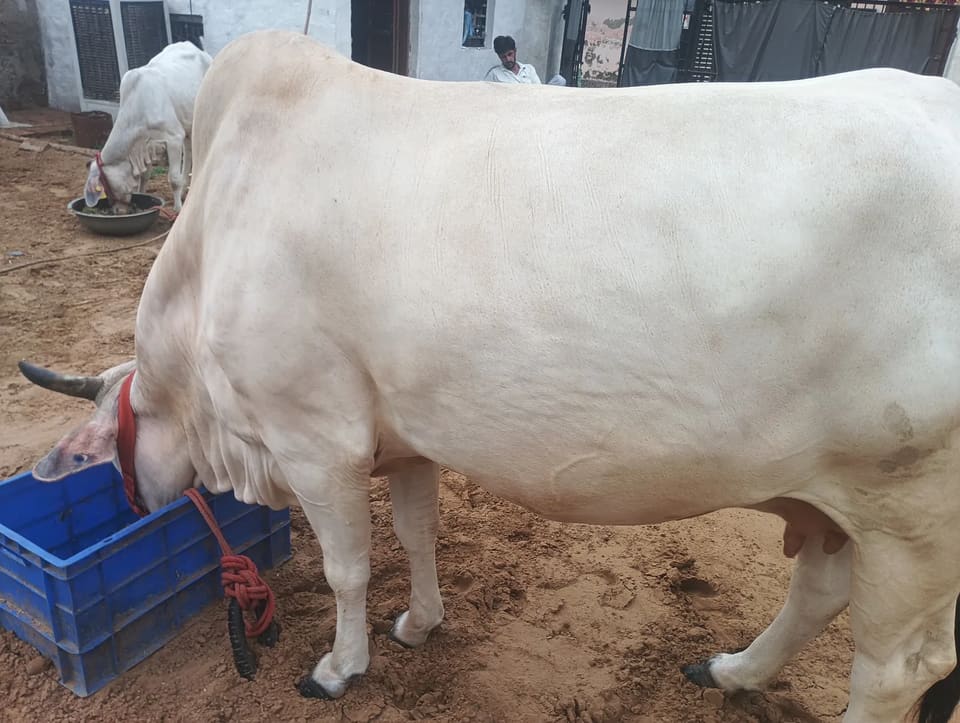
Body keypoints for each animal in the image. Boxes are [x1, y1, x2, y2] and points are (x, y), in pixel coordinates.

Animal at [83, 41, 212, 213]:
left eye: (105, 187)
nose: (117, 210)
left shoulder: (173, 137)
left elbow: (174, 179)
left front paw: (178, 209)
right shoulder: (146, 143)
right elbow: (145, 175)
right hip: (187, 122)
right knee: (189, 149)